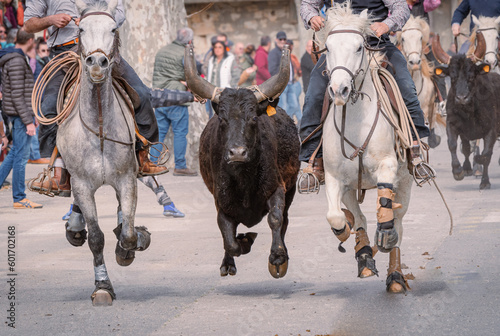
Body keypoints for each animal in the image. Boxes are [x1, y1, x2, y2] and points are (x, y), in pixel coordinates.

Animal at [57, 0, 149, 304]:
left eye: (113, 29)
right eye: (81, 29)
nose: (97, 64)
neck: (98, 125)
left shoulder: (127, 179)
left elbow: (129, 232)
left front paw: (127, 249)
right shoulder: (82, 185)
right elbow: (96, 238)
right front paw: (102, 287)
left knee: (123, 215)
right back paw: (75, 228)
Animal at [320, 2, 414, 292]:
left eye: (359, 47)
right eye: (327, 48)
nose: (339, 90)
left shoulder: (388, 166)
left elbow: (386, 211)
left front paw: (384, 235)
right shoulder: (334, 177)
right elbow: (336, 216)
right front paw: (346, 234)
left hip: (405, 182)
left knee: (399, 223)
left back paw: (395, 275)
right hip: (352, 187)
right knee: (358, 217)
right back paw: (363, 257)